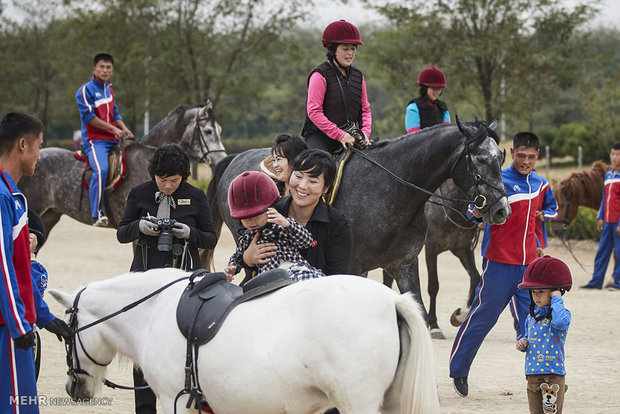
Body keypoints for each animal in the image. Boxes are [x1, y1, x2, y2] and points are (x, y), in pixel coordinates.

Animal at [206, 118, 512, 326]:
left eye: (501, 156)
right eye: (481, 159)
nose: (501, 210)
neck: (388, 189)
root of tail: (237, 157)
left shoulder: (403, 264)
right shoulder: (353, 267)